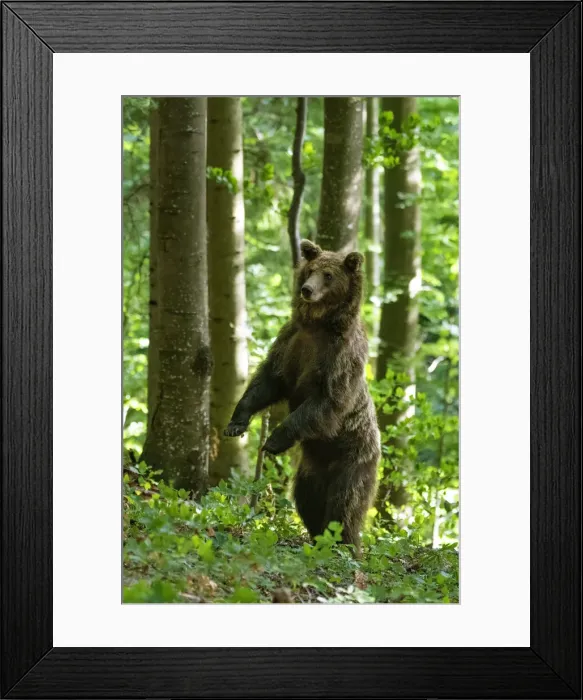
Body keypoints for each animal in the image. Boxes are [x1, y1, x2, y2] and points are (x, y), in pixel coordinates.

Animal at [224, 239, 381, 554]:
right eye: (311, 269)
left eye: (329, 275)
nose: (307, 290)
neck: (319, 325)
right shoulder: (291, 343)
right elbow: (269, 381)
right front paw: (237, 421)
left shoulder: (339, 358)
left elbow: (327, 401)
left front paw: (273, 440)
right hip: (312, 469)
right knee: (308, 499)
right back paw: (318, 537)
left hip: (354, 456)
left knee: (345, 505)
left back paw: (346, 545)